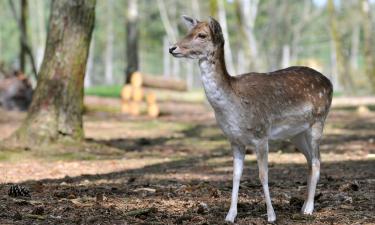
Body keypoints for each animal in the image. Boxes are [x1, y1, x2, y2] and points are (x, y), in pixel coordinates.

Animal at [169, 16, 334, 223]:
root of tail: (330, 83)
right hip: (296, 133)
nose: (172, 48)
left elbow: (263, 175)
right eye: (188, 31)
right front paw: (230, 215)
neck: (233, 108)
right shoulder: (234, 140)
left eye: (202, 35)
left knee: (317, 160)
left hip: (318, 121)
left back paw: (309, 209)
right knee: (310, 160)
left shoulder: (261, 134)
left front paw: (271, 216)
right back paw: (303, 206)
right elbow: (235, 175)